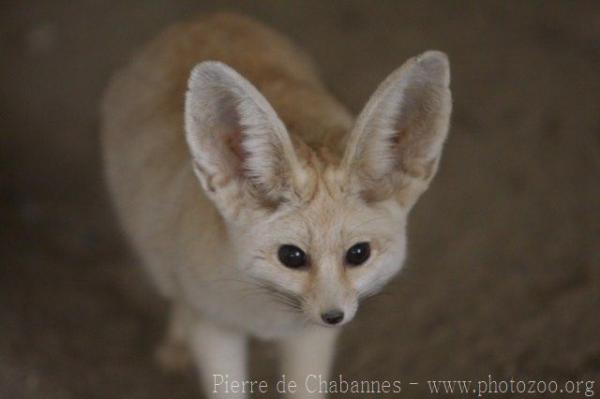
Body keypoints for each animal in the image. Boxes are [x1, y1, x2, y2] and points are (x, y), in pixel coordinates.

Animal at [102, 13, 450, 399]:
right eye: (292, 257)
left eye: (358, 254)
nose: (334, 316)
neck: (266, 317)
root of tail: (210, 16)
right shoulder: (213, 326)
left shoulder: (310, 337)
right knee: (174, 293)